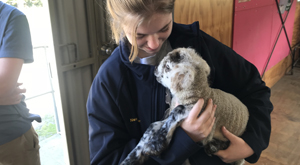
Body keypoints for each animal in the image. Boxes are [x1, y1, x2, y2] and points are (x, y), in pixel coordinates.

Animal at [119, 47, 248, 164]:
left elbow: (176, 112)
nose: (155, 69)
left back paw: (214, 146)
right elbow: (153, 126)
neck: (202, 94)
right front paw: (131, 159)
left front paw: (155, 146)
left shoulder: (198, 109)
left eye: (167, 67)